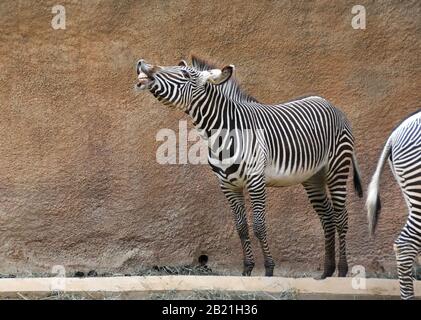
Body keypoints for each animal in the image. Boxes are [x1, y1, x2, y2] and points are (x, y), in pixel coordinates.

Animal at [135, 55, 360, 278]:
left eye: (184, 74)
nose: (141, 63)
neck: (221, 134)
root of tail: (329, 104)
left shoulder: (255, 180)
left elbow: (259, 226)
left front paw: (268, 269)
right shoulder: (228, 185)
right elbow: (241, 227)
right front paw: (247, 269)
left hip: (337, 168)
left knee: (341, 217)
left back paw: (342, 271)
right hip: (313, 177)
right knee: (327, 217)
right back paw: (327, 273)